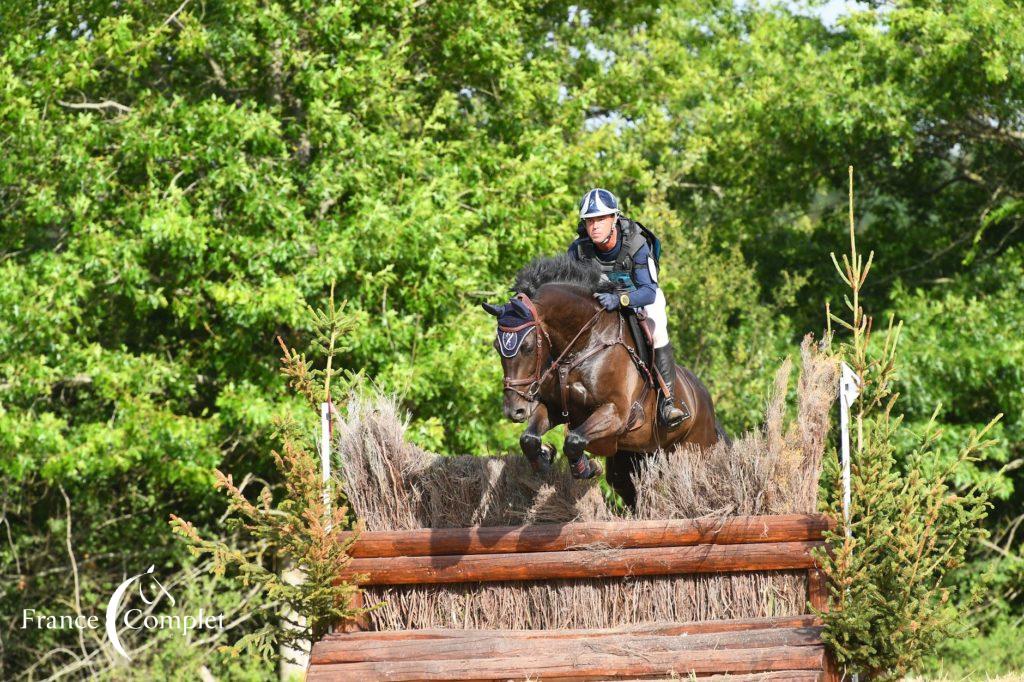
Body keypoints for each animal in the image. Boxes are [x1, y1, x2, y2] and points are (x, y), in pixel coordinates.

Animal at [481, 251, 729, 507]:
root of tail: (704, 398)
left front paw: (586, 468)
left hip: (694, 449)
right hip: (635, 456)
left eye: (528, 347)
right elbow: (529, 439)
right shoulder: (555, 408)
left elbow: (574, 440)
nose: (515, 411)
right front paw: (544, 457)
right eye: (497, 347)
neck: (585, 342)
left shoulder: (616, 413)